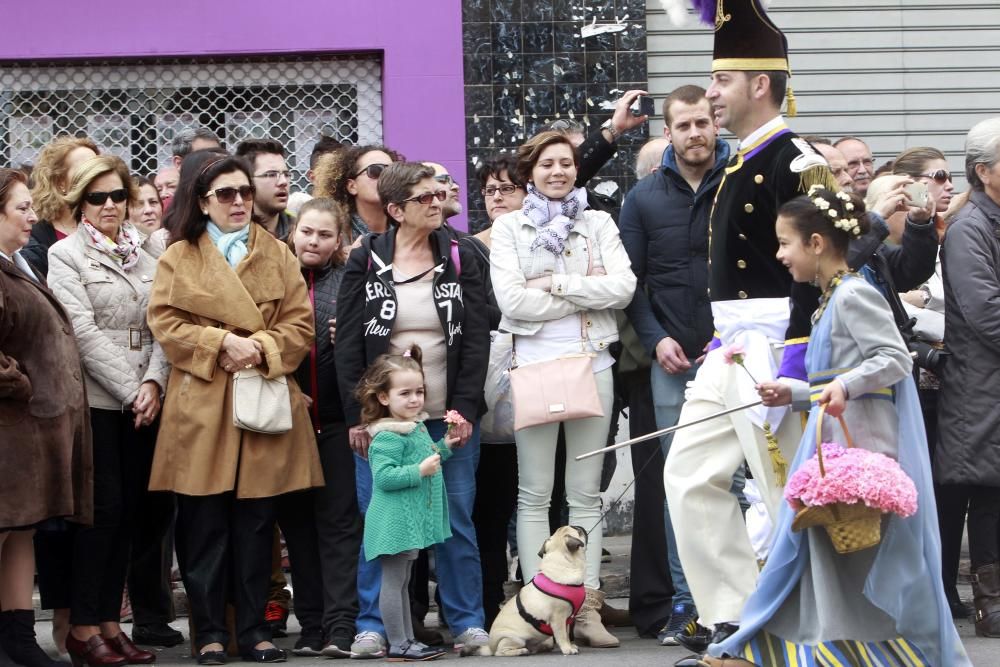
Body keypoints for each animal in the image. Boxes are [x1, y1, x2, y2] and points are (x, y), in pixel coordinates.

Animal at [482, 528, 588, 656]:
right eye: (578, 531)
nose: (581, 528)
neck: (561, 560)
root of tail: (490, 648)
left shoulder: (566, 620)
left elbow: (567, 635)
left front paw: (570, 645)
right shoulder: (558, 618)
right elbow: (562, 636)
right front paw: (567, 649)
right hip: (513, 639)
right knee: (500, 652)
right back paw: (521, 651)